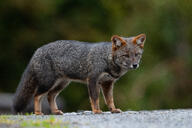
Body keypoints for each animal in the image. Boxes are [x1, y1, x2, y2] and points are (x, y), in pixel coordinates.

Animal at [12, 33, 146, 115]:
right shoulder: (92, 80)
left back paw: (55, 112)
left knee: (50, 96)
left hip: (61, 84)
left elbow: (110, 99)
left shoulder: (107, 83)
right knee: (37, 95)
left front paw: (113, 110)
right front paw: (96, 111)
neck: (106, 58)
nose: (135, 65)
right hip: (48, 83)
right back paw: (38, 113)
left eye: (136, 55)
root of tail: (38, 50)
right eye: (126, 55)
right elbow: (95, 98)